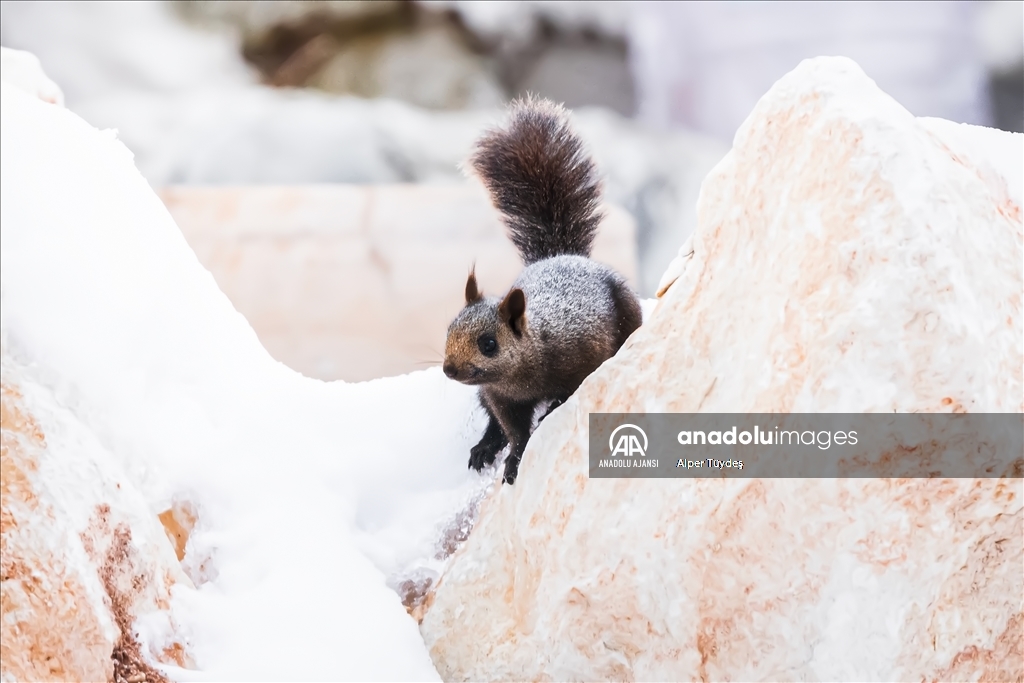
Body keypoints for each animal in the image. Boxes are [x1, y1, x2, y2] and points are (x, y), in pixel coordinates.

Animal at [440, 98, 638, 485]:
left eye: (489, 344)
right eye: (448, 331)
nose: (449, 369)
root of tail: (563, 255)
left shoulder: (584, 352)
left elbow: (572, 389)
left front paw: (552, 410)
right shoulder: (500, 398)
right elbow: (513, 429)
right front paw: (514, 455)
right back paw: (485, 446)